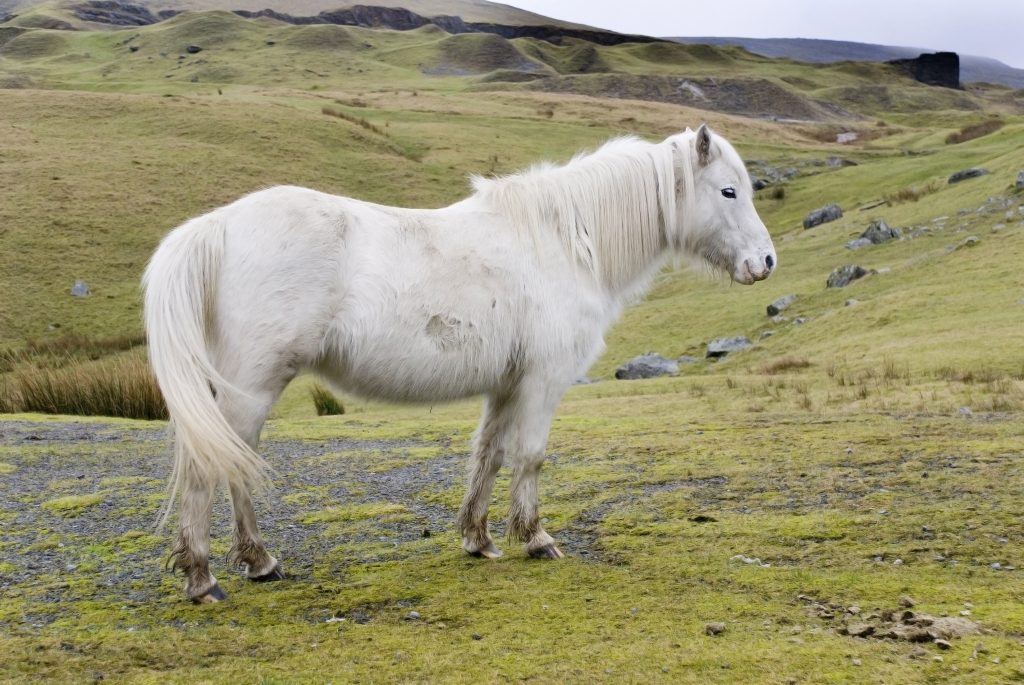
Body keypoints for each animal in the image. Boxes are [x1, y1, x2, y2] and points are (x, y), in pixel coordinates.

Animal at [144, 124, 774, 602]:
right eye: (728, 192)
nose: (765, 262)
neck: (565, 241)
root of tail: (218, 226)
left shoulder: (507, 385)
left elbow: (488, 456)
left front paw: (478, 539)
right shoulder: (543, 381)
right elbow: (530, 457)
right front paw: (536, 539)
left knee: (233, 465)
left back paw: (258, 562)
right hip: (250, 387)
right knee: (209, 468)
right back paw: (205, 577)